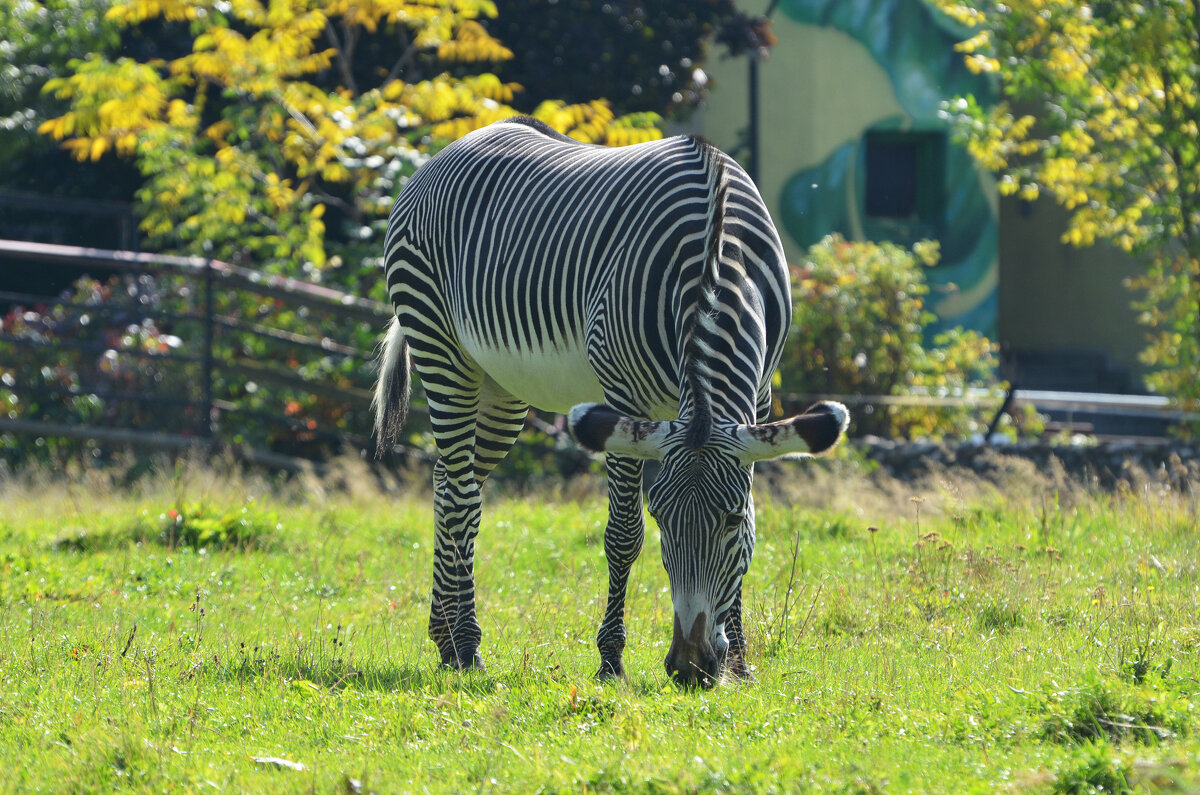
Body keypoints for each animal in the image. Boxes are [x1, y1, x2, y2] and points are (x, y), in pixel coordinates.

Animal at [369, 115, 849, 686]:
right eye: (661, 516)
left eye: (733, 520)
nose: (690, 668)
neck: (715, 255)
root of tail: (455, 146)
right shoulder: (624, 394)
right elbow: (623, 534)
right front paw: (610, 659)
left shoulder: (760, 395)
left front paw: (740, 663)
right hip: (441, 346)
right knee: (463, 498)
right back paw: (467, 645)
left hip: (501, 387)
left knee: (447, 483)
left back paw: (443, 639)